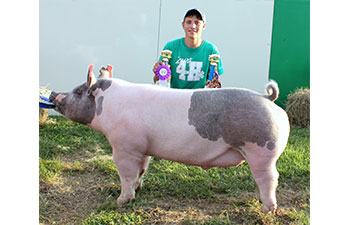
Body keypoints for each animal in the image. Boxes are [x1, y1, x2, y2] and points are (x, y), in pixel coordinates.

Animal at [49, 64, 290, 213]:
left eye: (78, 92)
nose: (53, 94)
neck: (107, 106)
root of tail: (267, 97)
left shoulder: (124, 146)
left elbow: (126, 174)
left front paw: (121, 201)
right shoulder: (142, 148)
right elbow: (141, 170)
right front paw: (138, 189)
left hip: (262, 151)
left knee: (270, 178)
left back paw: (266, 209)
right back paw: (259, 201)